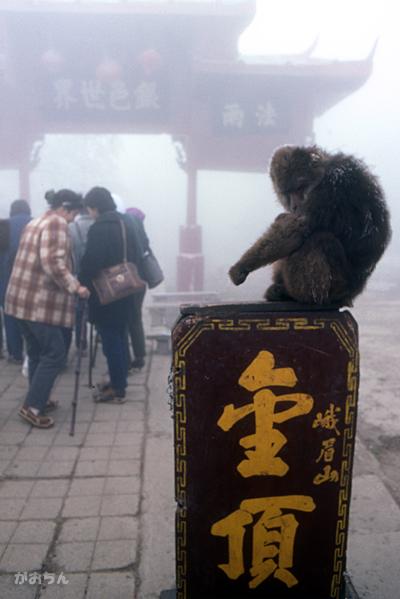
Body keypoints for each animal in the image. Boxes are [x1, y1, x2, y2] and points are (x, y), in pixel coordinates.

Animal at [228, 144, 390, 304]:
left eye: (300, 188)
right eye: (286, 193)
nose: (294, 206)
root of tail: (353, 294)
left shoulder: (331, 186)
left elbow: (299, 228)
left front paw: (242, 267)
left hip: (339, 287)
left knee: (318, 239)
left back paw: (299, 296)